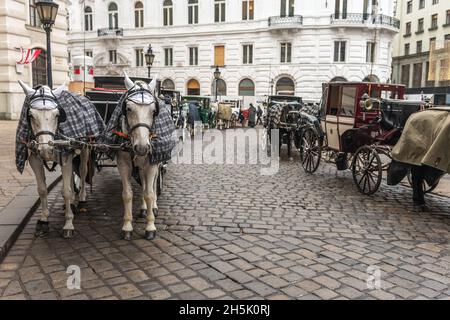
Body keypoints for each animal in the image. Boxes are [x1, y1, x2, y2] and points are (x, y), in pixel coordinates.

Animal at [18, 81, 90, 239]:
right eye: (30, 115)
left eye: (57, 115)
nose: (46, 149)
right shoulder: (35, 158)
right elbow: (42, 190)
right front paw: (43, 220)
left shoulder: (66, 156)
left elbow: (66, 192)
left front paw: (68, 224)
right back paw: (72, 203)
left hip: (84, 148)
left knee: (82, 171)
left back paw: (81, 198)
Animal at [116, 73, 160, 240]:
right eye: (128, 108)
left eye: (154, 111)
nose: (142, 147)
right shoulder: (123, 164)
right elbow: (127, 194)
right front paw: (127, 226)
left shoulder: (152, 164)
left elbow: (150, 194)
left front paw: (150, 227)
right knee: (143, 181)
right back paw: (143, 208)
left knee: (152, 186)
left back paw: (153, 207)